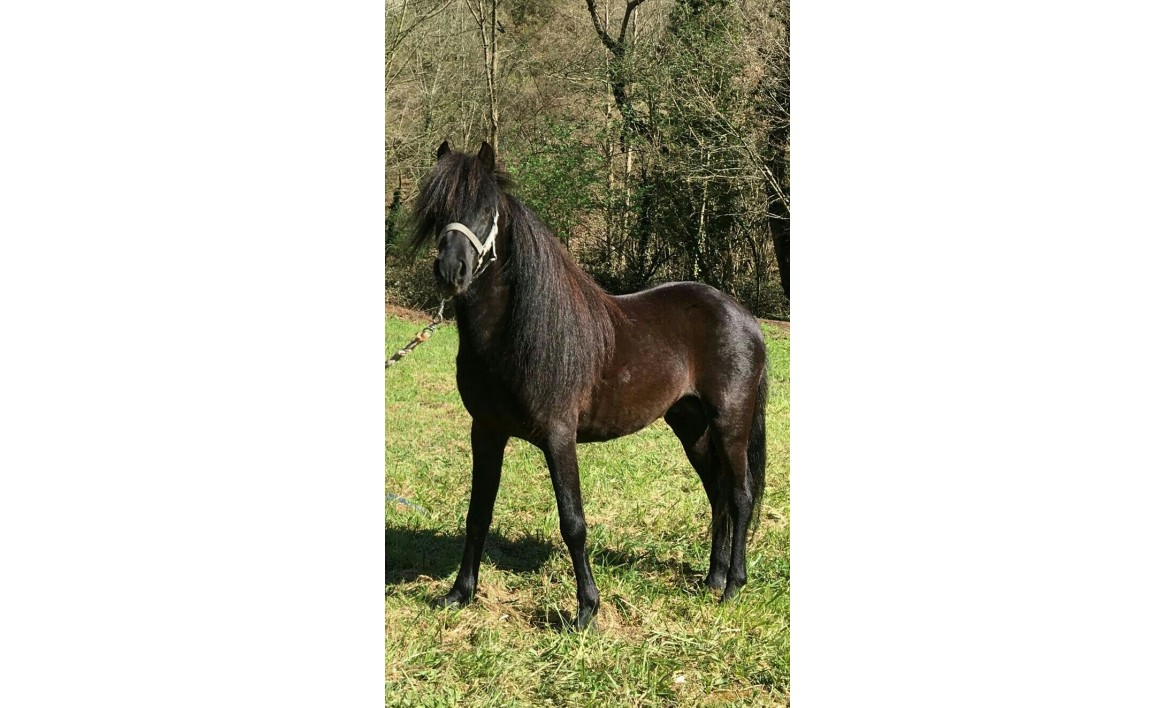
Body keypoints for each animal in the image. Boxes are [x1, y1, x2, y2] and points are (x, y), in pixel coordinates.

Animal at [406, 140, 771, 625]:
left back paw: (733, 586)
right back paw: (712, 579)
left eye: (487, 209)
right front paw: (459, 593)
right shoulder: (485, 432)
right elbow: (477, 514)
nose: (452, 272)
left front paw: (586, 610)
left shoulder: (559, 436)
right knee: (717, 495)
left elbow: (573, 522)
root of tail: (744, 317)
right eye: (436, 209)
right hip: (690, 425)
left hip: (731, 423)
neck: (516, 337)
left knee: (740, 495)